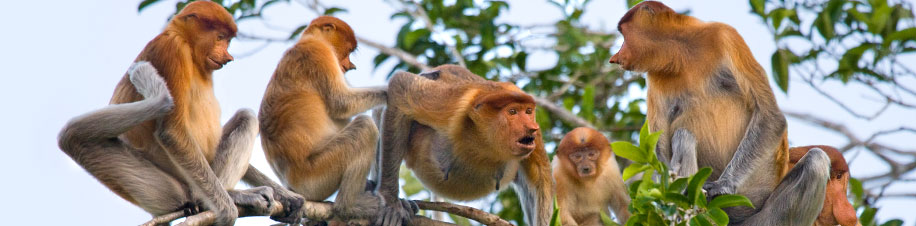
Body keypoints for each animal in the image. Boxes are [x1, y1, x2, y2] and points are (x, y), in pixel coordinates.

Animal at [55, 1, 302, 224]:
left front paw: (289, 197)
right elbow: (172, 132)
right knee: (72, 135)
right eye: (220, 37)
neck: (190, 49)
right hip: (165, 189)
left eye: (228, 40)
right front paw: (227, 211)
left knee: (246, 118)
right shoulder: (171, 50)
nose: (228, 57)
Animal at [258, 15, 386, 222]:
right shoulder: (318, 52)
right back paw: (348, 207)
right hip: (317, 176)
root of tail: (291, 184)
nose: (350, 66)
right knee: (365, 127)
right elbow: (341, 103)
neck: (308, 39)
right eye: (349, 50)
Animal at [376, 64, 556, 226]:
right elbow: (401, 85)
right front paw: (392, 204)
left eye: (528, 111)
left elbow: (540, 180)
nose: (532, 128)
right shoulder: (455, 104)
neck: (484, 139)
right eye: (512, 112)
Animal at [608, 1, 832, 224]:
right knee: (684, 136)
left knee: (816, 161)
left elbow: (770, 115)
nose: (615, 58)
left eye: (624, 35)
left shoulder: (724, 36)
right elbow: (660, 150)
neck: (681, 52)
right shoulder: (654, 78)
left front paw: (723, 185)